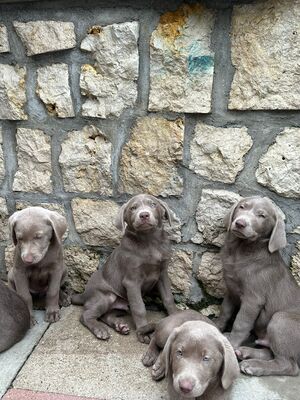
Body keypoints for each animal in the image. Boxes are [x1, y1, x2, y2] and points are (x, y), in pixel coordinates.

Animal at [214, 198, 300, 378]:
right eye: (242, 207)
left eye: (262, 216)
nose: (240, 223)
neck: (241, 250)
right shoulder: (231, 289)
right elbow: (225, 311)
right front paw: (216, 326)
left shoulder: (253, 300)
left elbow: (241, 323)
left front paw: (232, 343)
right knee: (271, 352)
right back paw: (246, 352)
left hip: (281, 320)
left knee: (289, 365)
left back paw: (253, 365)